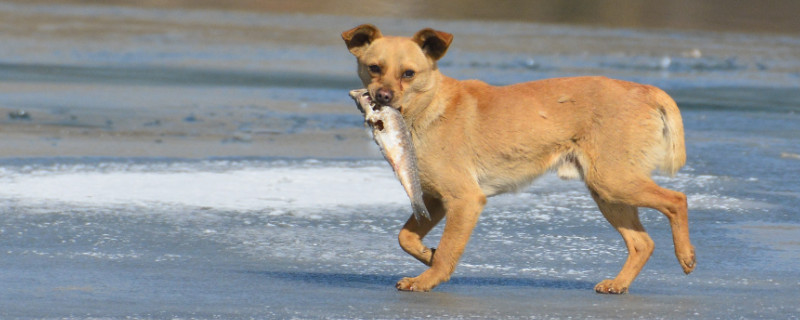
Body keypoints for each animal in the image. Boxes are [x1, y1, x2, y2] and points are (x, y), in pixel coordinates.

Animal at [342, 24, 692, 296]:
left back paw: (686, 255)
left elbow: (447, 250)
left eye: (409, 74)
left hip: (613, 181)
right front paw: (428, 255)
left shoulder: (464, 198)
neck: (429, 109)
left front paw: (428, 278)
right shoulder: (435, 198)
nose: (382, 97)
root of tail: (645, 89)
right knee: (642, 243)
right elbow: (405, 237)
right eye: (374, 68)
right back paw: (618, 284)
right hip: (607, 192)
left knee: (677, 199)